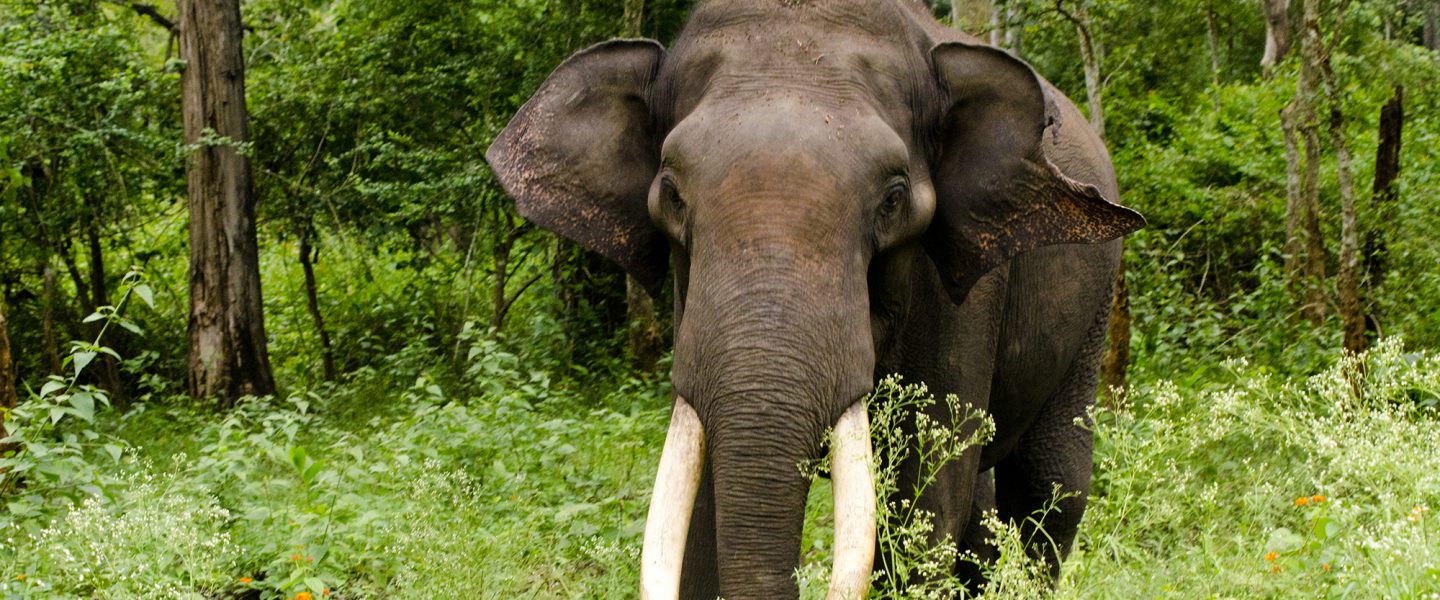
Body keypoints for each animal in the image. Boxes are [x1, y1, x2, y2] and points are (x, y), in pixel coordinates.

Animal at [486, 1, 1145, 598]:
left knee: (1048, 487)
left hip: (1095, 303)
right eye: (670, 193)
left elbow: (923, 496)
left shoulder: (965, 293)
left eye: (893, 199)